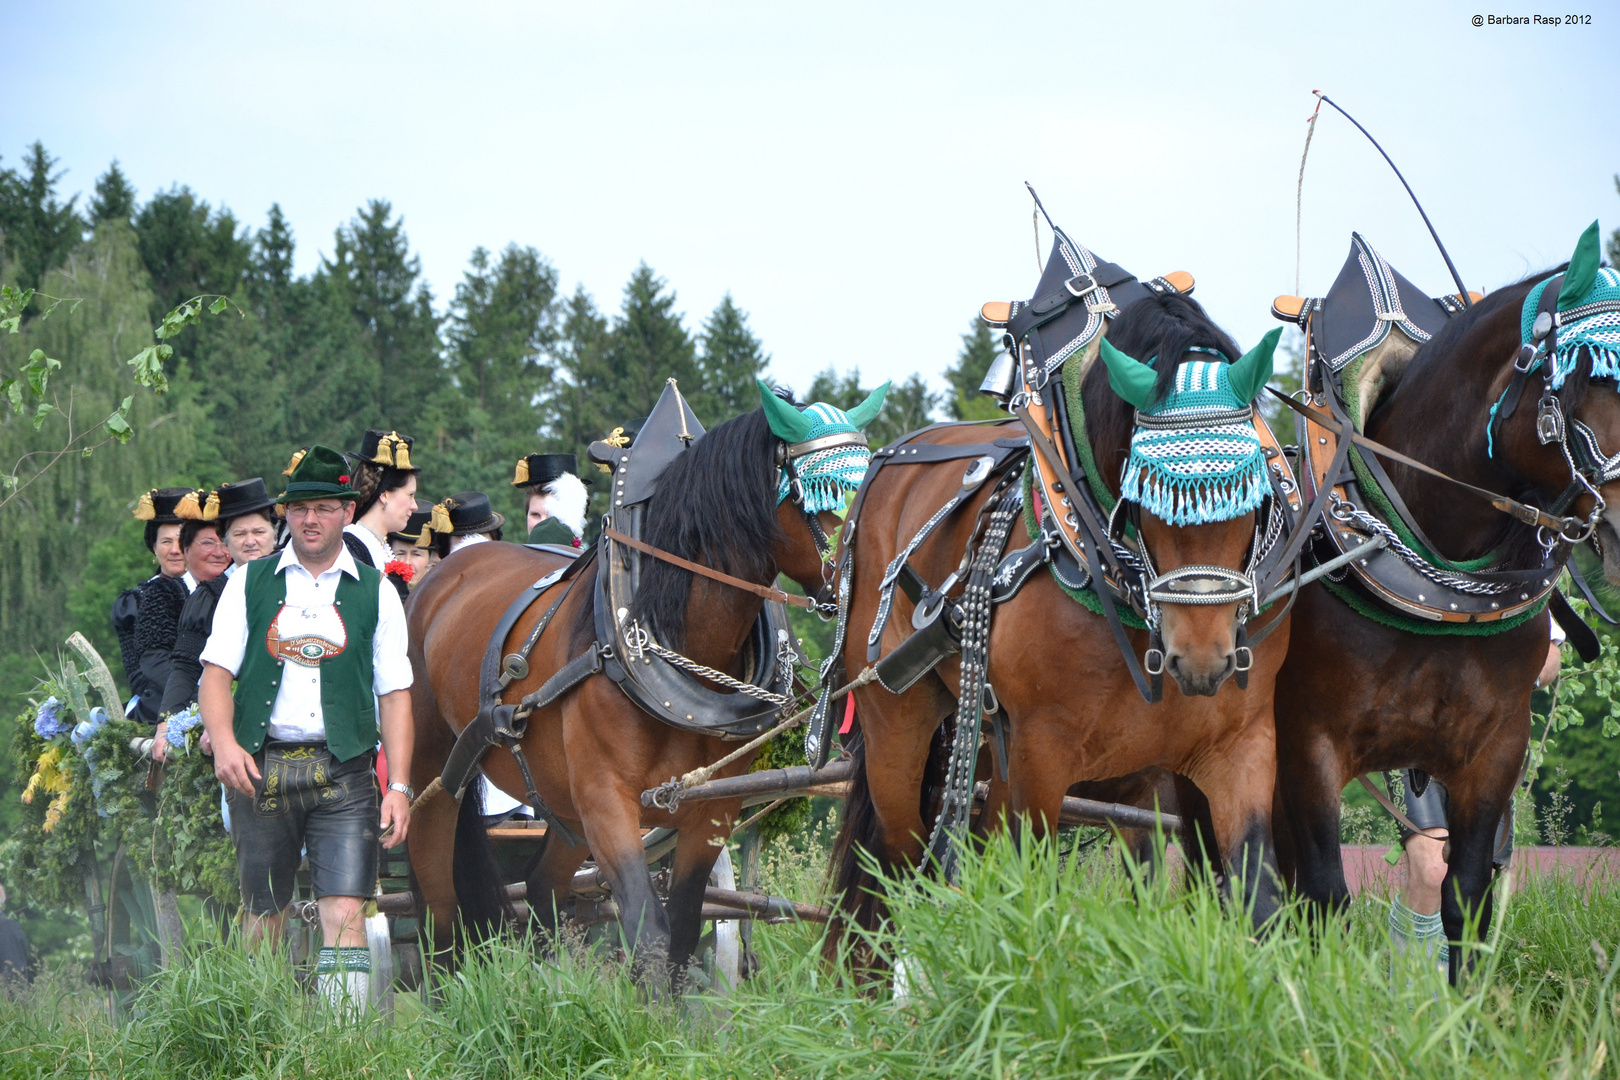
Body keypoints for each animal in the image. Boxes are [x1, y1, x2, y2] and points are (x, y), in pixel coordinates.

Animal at [408, 404, 835, 977]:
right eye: (823, 489)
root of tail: (440, 577)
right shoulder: (606, 799)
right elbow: (648, 928)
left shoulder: (710, 808)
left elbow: (683, 928)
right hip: (432, 772)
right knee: (438, 902)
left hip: (561, 801)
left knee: (542, 886)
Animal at [835, 293, 1289, 945]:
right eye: (1144, 495)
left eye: (1253, 493)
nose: (1203, 660)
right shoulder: (1041, 755)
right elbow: (1031, 891)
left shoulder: (1240, 747)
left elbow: (1260, 898)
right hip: (895, 725)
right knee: (898, 866)